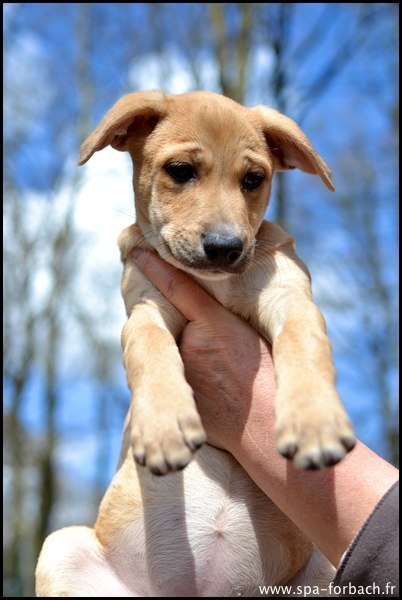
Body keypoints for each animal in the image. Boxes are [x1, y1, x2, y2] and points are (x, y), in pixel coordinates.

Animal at [35, 92, 354, 596]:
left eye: (254, 180)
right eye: (181, 170)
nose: (225, 247)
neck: (213, 284)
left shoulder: (291, 297)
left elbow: (304, 344)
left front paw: (314, 422)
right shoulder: (144, 309)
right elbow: (151, 350)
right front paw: (165, 425)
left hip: (325, 567)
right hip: (61, 545)